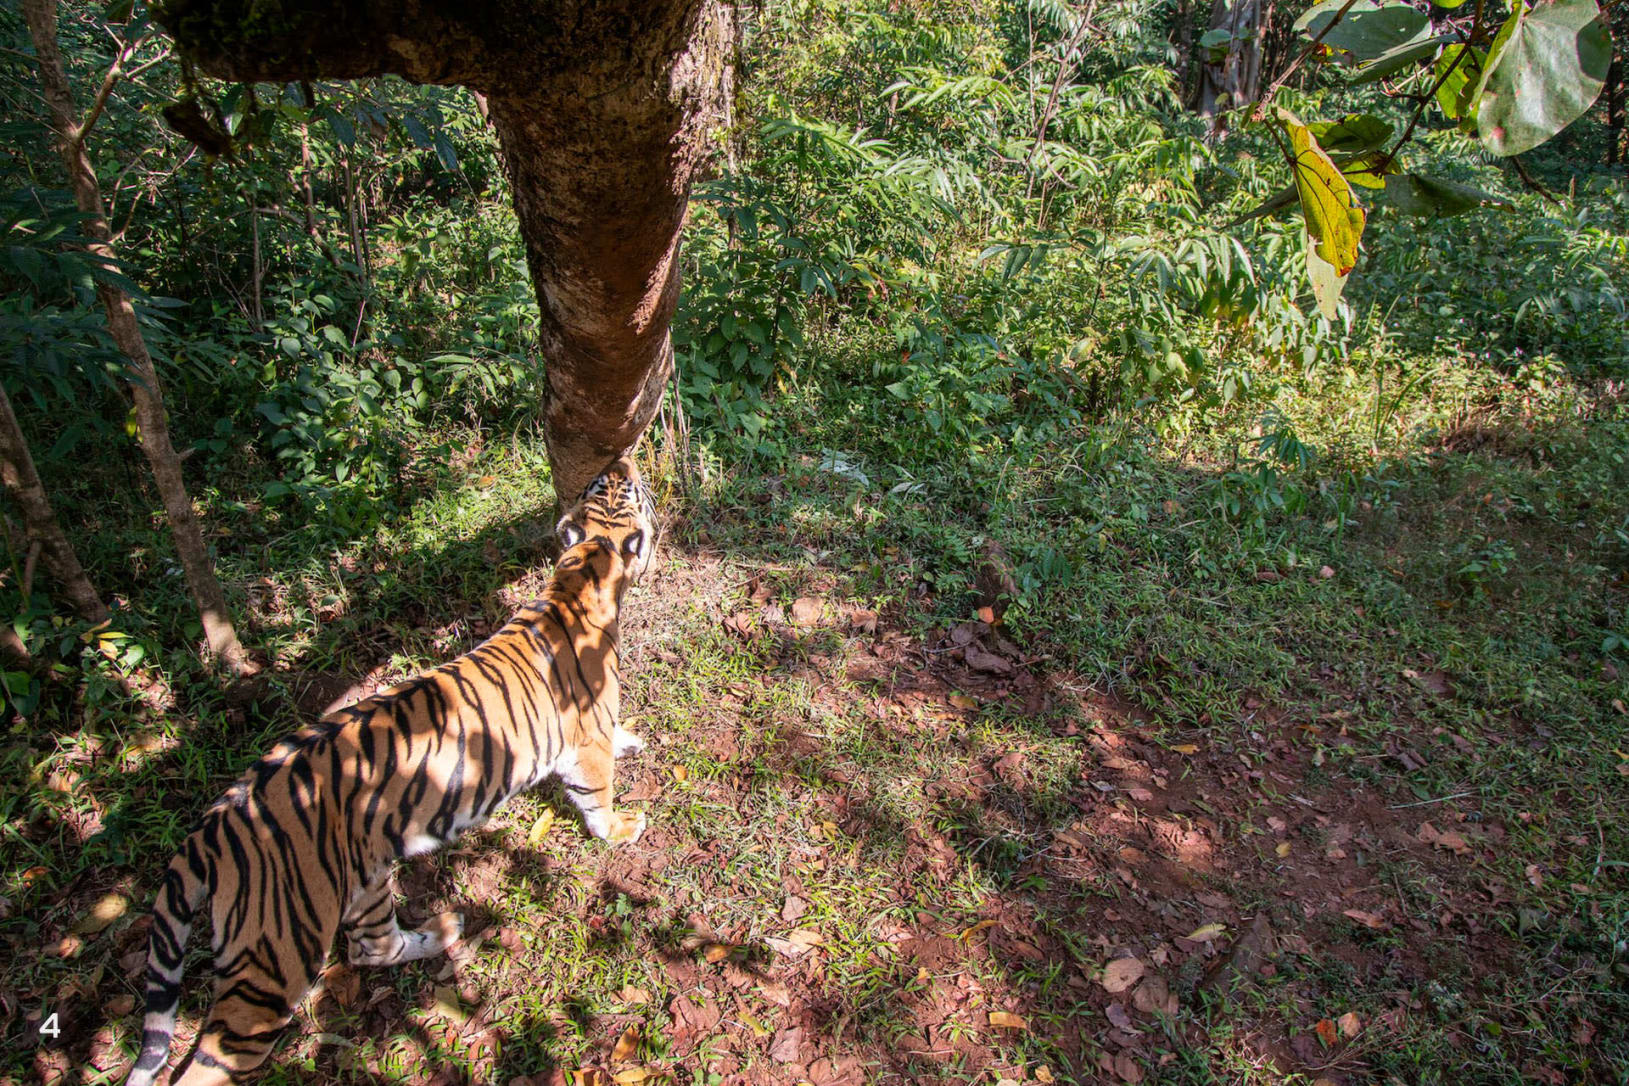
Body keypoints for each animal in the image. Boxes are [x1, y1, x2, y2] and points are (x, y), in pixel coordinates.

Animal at [124, 454, 658, 1086]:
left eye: (606, 485)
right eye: (622, 488)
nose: (621, 460)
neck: (584, 571)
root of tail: (214, 826)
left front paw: (633, 741)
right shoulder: (584, 741)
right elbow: (597, 796)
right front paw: (622, 829)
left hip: (362, 879)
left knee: (370, 949)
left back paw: (445, 930)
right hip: (276, 953)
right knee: (219, 1055)